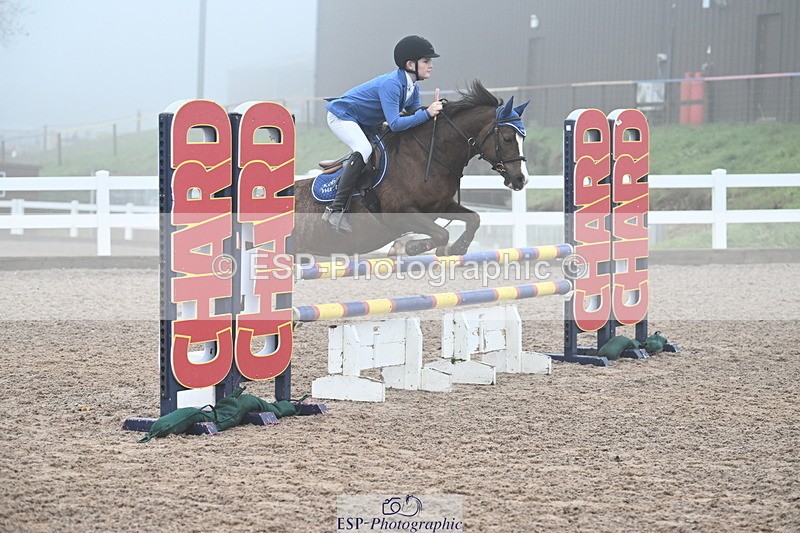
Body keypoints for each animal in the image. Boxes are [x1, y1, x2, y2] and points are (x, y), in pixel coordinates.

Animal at [291, 80, 531, 257]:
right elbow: (441, 234)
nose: (521, 179)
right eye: (508, 138)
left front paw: (456, 248)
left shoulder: (441, 206)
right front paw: (413, 247)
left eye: (523, 137)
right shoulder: (400, 215)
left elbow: (474, 219)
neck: (427, 157)